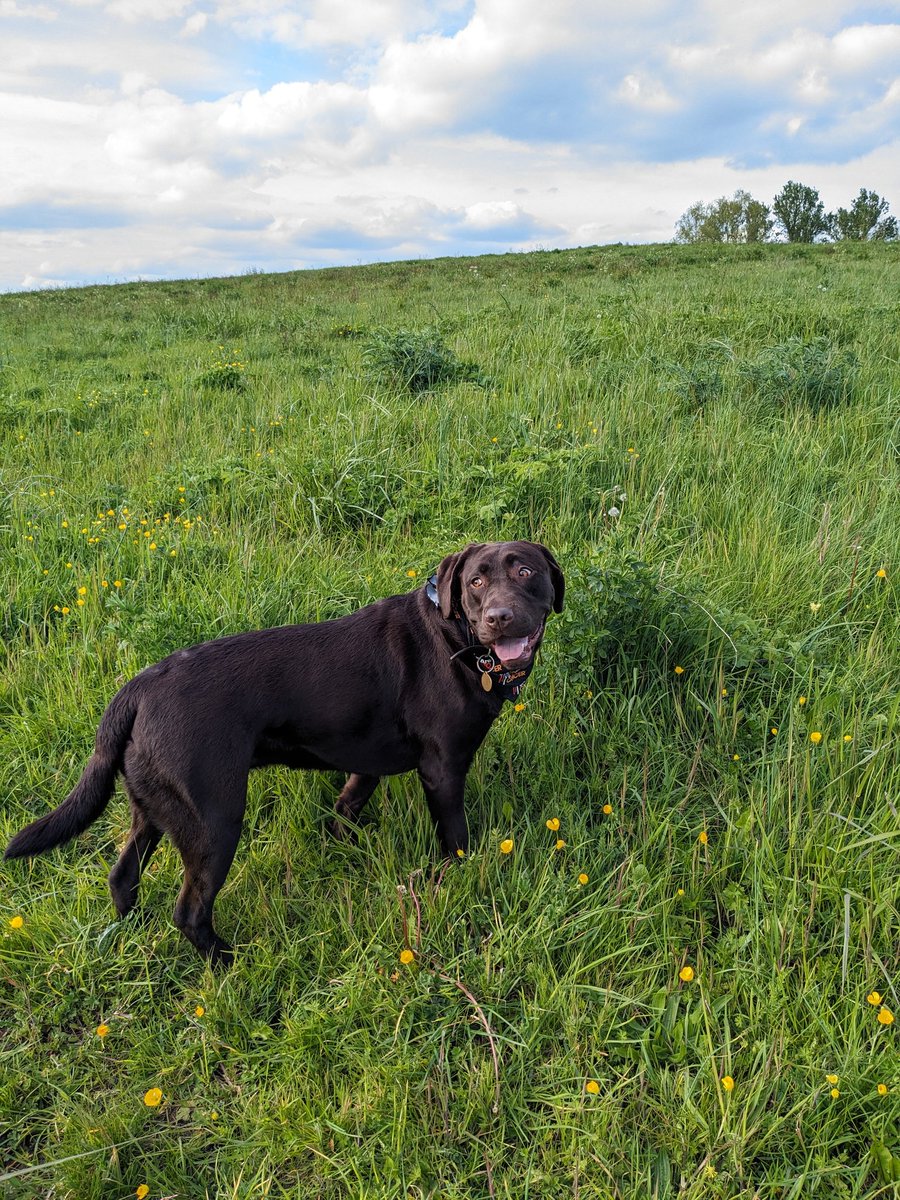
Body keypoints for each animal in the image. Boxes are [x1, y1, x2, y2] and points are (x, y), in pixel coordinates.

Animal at [7, 544, 564, 964]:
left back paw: (133, 931)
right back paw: (227, 962)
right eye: (476, 582)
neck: (456, 636)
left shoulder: (364, 765)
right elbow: (456, 840)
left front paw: (344, 847)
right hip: (214, 822)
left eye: (526, 571)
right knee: (189, 910)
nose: (499, 617)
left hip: (154, 807)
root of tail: (139, 686)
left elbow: (345, 807)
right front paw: (458, 880)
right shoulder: (443, 769)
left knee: (122, 876)